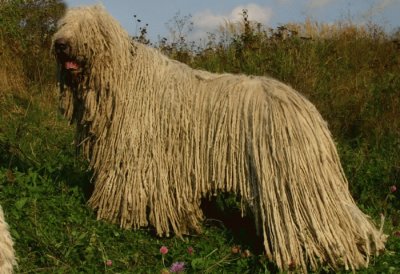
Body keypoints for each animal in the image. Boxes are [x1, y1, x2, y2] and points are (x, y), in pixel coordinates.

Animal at [52, 4, 384, 272]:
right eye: (64, 24)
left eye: (87, 27)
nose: (60, 43)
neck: (122, 78)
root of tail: (306, 110)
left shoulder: (136, 157)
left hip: (293, 184)